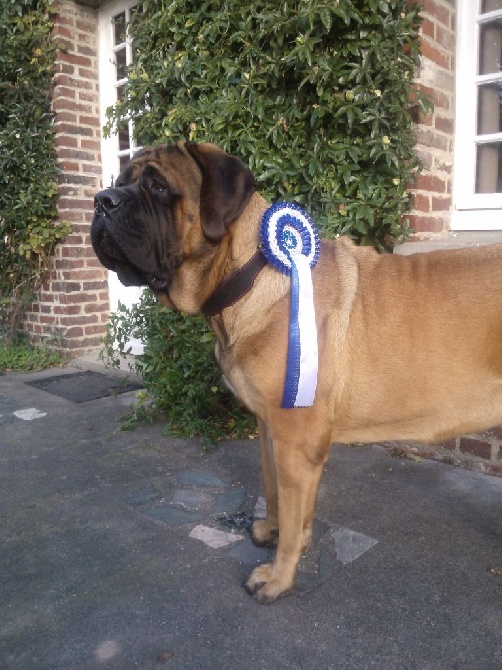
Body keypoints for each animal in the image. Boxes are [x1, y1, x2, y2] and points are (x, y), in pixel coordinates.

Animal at [92, 140, 502, 604]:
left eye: (159, 187)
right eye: (118, 182)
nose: (102, 201)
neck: (250, 273)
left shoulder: (294, 435)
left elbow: (289, 508)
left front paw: (277, 577)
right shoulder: (271, 427)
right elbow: (278, 494)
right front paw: (276, 533)